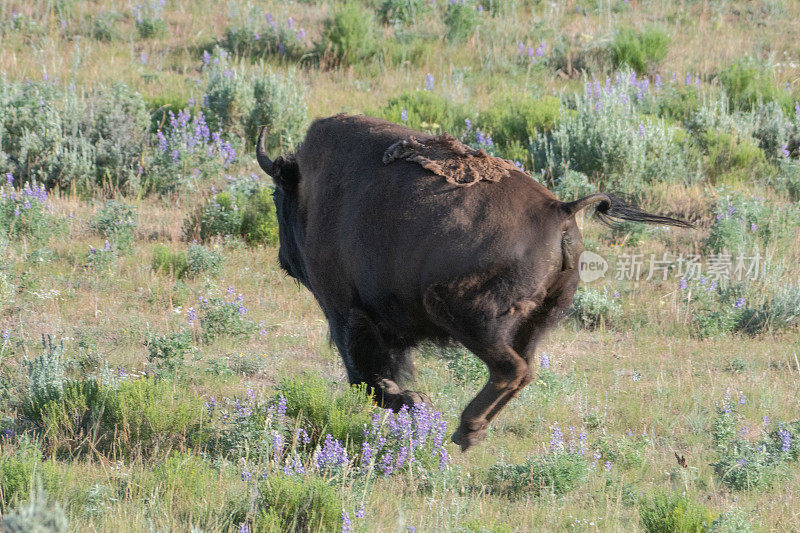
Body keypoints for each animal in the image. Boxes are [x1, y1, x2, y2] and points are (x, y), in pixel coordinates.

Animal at [255, 115, 688, 448]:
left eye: (277, 196)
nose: (283, 260)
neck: (312, 189)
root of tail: (561, 209)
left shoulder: (345, 310)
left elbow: (364, 373)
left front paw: (411, 400)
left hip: (462, 314)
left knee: (510, 368)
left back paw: (465, 429)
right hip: (538, 319)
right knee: (524, 370)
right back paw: (471, 432)